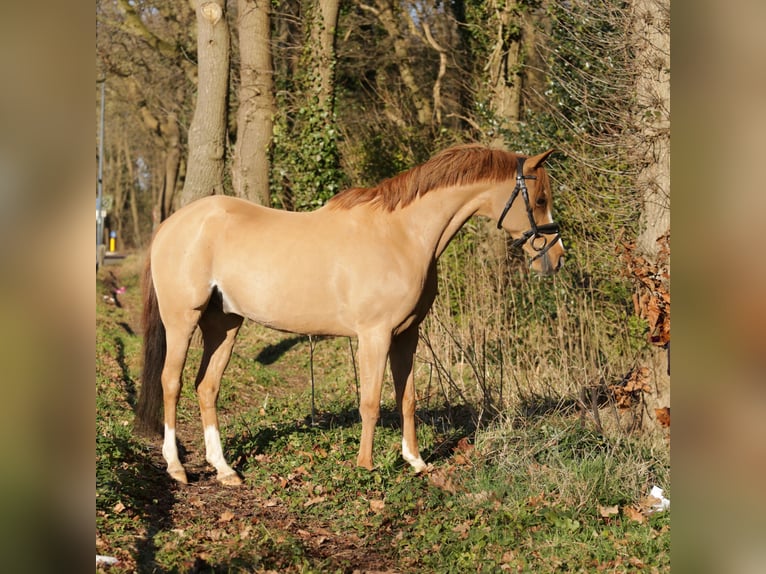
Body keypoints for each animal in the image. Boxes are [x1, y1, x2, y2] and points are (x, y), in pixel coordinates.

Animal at [134, 144, 564, 486]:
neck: (402, 234)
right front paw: (365, 465)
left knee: (207, 387)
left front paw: (416, 461)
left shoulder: (406, 336)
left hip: (224, 323)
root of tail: (171, 224)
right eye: (540, 199)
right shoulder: (375, 335)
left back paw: (224, 470)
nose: (556, 258)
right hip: (182, 320)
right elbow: (370, 402)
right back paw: (177, 468)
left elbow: (407, 399)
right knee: (171, 382)